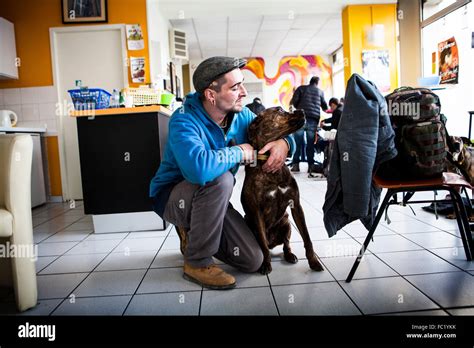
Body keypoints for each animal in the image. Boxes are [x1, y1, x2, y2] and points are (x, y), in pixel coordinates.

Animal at [243, 106, 324, 274]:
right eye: (279, 110)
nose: (302, 110)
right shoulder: (256, 213)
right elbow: (262, 245)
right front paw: (265, 264)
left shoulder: (296, 206)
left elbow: (307, 238)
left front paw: (313, 262)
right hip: (249, 221)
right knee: (266, 245)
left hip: (286, 222)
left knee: (286, 243)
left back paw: (290, 255)